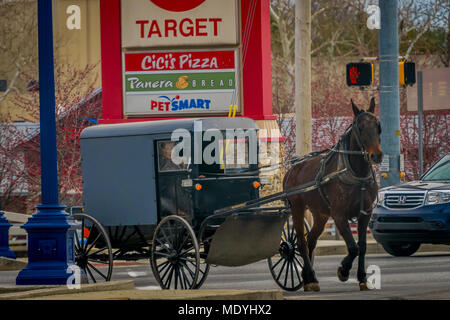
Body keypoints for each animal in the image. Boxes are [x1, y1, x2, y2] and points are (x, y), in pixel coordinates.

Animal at [284, 98, 382, 292]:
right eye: (360, 127)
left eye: (377, 125)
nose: (377, 155)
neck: (356, 174)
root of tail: (293, 167)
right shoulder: (339, 216)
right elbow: (353, 247)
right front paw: (343, 270)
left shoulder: (365, 214)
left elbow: (362, 246)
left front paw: (362, 278)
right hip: (297, 208)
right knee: (301, 242)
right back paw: (310, 277)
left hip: (320, 214)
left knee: (310, 240)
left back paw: (308, 277)